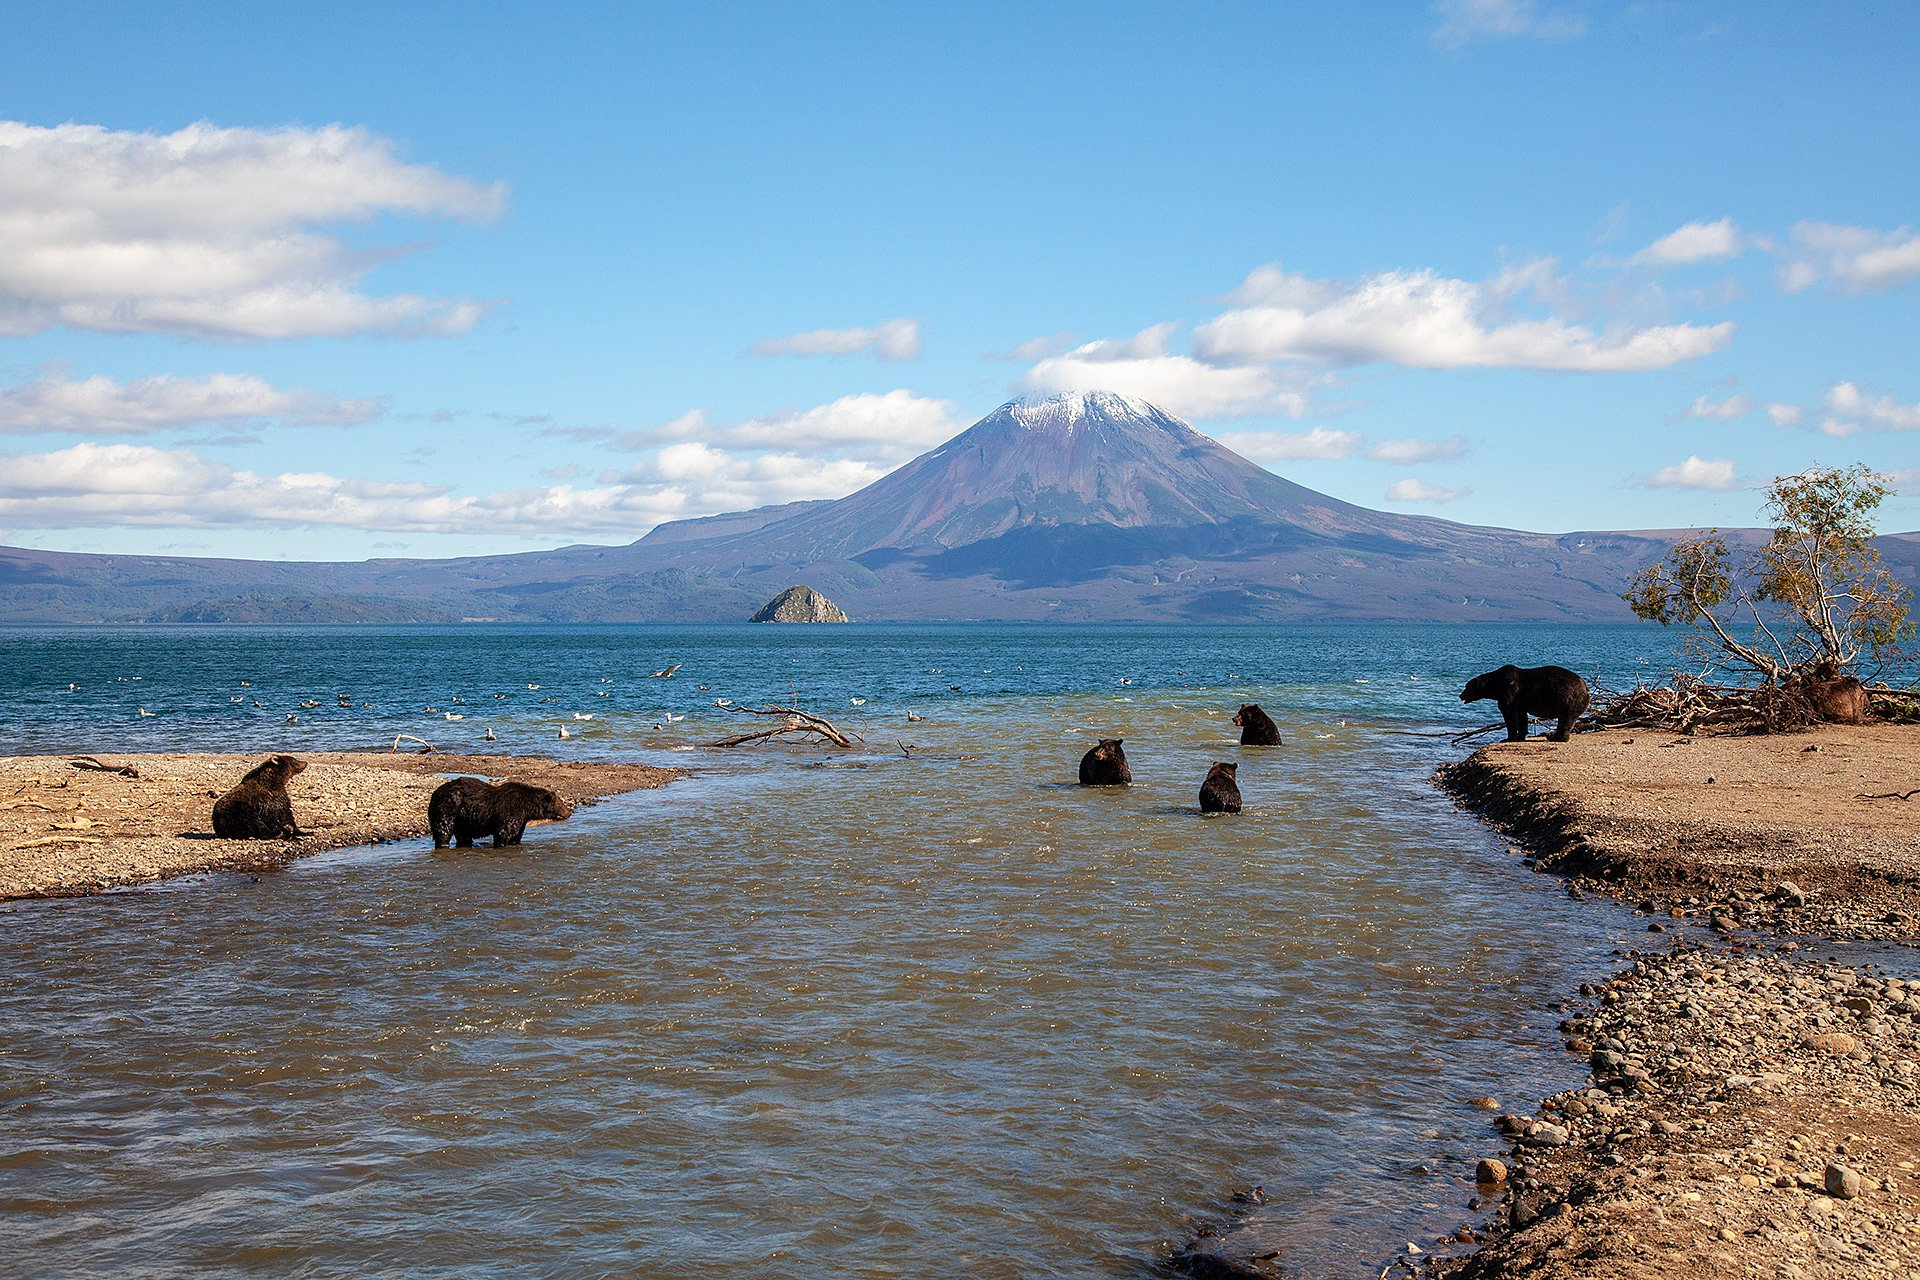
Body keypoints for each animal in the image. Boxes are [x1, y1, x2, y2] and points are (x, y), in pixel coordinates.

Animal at [435, 771, 576, 852]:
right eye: (561, 803)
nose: (569, 812)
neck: (527, 807)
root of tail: (437, 791)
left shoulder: (521, 819)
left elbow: (516, 835)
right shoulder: (509, 813)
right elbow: (503, 833)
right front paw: (500, 844)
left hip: (463, 820)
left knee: (463, 836)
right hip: (448, 808)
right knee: (443, 830)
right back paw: (443, 844)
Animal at [1451, 667, 1589, 744]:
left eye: (1467, 686)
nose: (1460, 695)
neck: (1494, 686)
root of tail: (1586, 687)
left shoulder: (1509, 692)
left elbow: (1509, 715)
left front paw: (1508, 738)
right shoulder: (1520, 702)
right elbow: (1522, 717)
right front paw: (1521, 736)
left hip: (1569, 699)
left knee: (1566, 719)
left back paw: (1556, 737)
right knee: (1566, 720)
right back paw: (1554, 736)